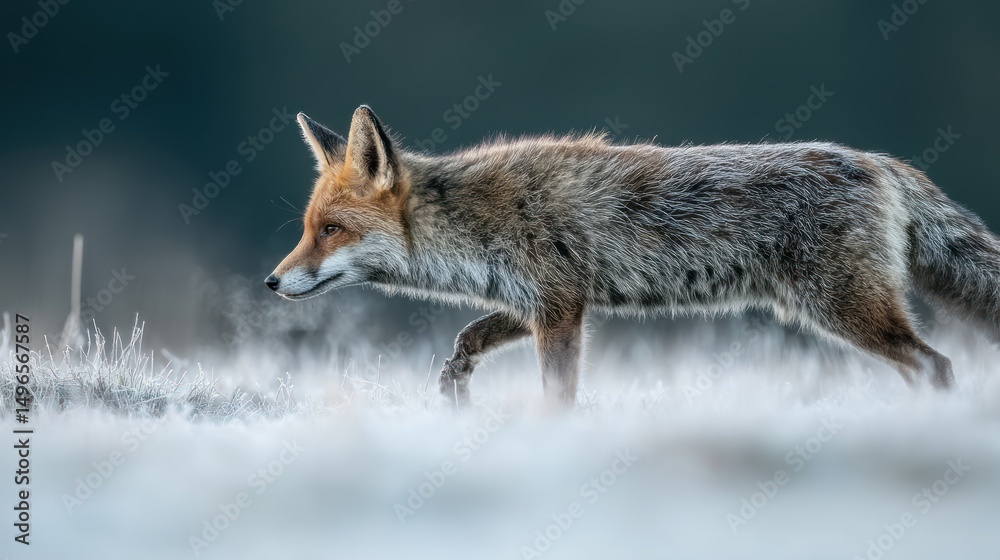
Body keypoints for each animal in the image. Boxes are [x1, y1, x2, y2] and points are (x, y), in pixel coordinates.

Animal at [265, 105, 1000, 406]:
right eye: (308, 228)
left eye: (330, 229)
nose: (271, 282)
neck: (474, 223)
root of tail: (879, 161)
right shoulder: (542, 301)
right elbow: (469, 335)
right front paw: (455, 382)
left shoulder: (560, 309)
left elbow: (558, 395)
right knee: (924, 367)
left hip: (846, 310)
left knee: (936, 365)